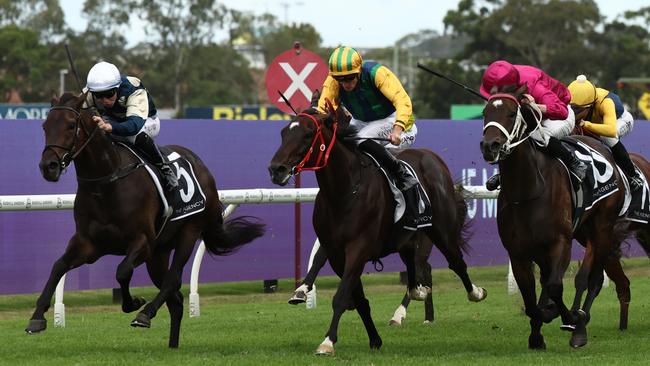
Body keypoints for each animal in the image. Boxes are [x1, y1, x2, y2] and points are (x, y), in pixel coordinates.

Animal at [30, 93, 264, 348]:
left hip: (189, 232)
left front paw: (134, 304)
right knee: (176, 298)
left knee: (172, 280)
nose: (48, 166)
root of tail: (204, 169)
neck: (107, 182)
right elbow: (58, 267)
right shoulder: (89, 244)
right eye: (45, 126)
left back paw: (145, 314)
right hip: (158, 254)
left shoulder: (142, 241)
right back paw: (172, 345)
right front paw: (37, 318)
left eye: (71, 125)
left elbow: (122, 271)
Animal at [266, 106, 484, 354]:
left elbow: (341, 297)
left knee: (456, 262)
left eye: (308, 134)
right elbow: (358, 299)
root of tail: (433, 158)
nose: (276, 169)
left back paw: (475, 292)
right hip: (408, 237)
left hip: (441, 230)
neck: (343, 192)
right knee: (416, 263)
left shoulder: (358, 249)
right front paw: (374, 339)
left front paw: (327, 342)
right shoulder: (337, 253)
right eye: (284, 133)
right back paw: (416, 293)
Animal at [478, 86, 624, 348]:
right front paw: (537, 334)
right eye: (485, 113)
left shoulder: (560, 243)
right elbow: (530, 300)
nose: (490, 146)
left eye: (512, 113)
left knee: (595, 279)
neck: (528, 191)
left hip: (603, 228)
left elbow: (555, 287)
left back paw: (580, 328)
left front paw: (568, 317)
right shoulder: (518, 253)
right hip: (580, 232)